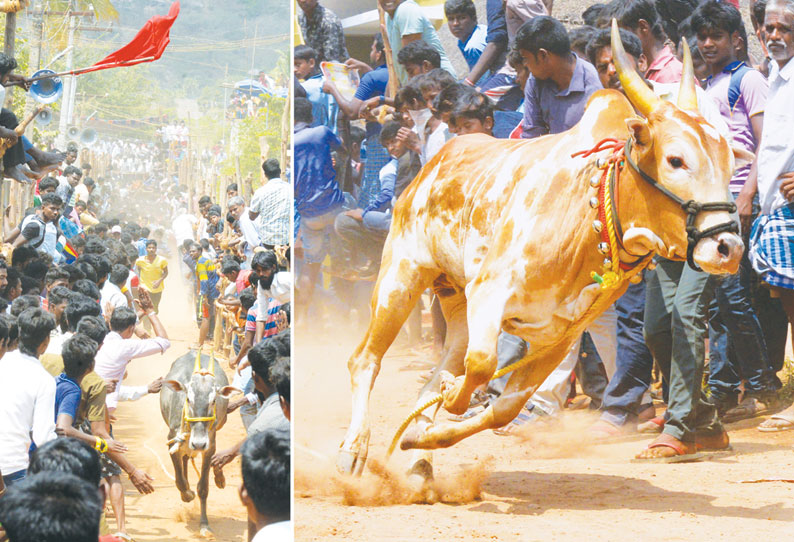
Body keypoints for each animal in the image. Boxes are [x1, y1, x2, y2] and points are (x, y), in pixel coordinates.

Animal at [161, 350, 234, 536]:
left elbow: (203, 487)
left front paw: (204, 525)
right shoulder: (172, 442)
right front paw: (187, 493)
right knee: (186, 459)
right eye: (188, 399)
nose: (199, 443)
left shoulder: (210, 446)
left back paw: (219, 477)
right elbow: (180, 481)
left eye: (213, 401)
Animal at [336, 24, 748, 484]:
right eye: (676, 160)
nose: (728, 248)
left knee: (437, 370)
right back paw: (354, 449)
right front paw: (443, 408)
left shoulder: (557, 336)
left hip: (454, 303)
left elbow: (502, 407)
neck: (589, 213)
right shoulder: (490, 291)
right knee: (365, 360)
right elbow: (481, 367)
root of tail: (433, 162)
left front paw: (424, 436)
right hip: (401, 275)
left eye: (730, 166)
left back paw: (420, 456)